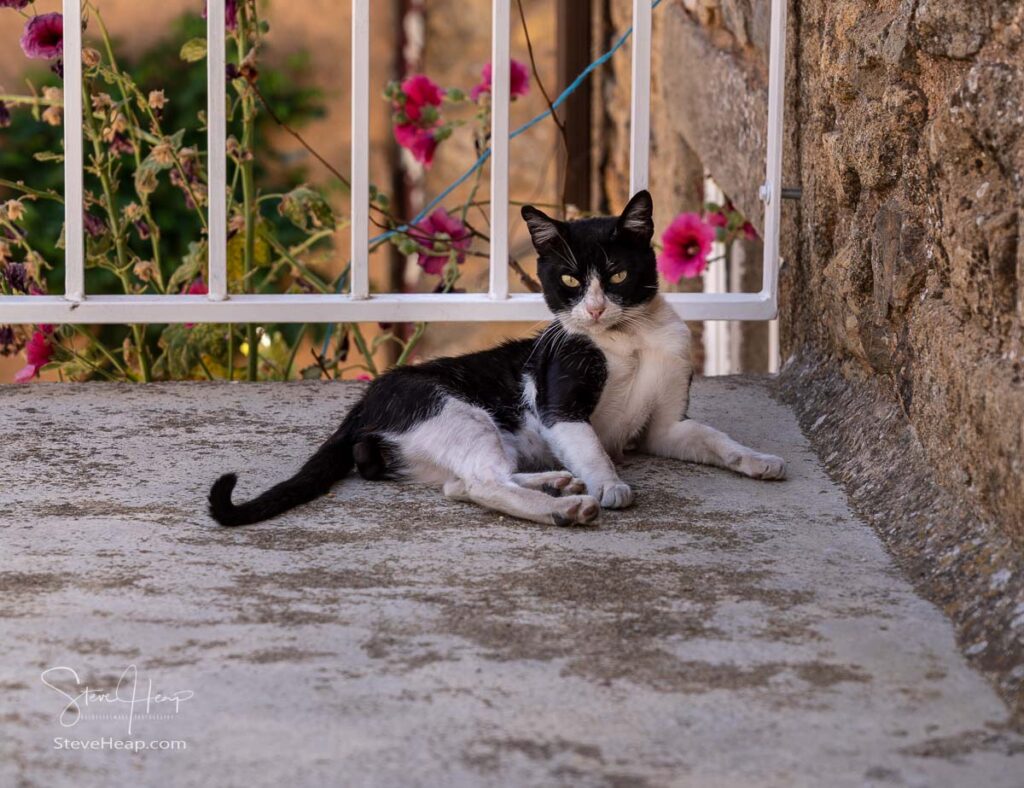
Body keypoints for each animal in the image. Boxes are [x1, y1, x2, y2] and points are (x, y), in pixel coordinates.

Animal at [205, 188, 782, 528]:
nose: (595, 308)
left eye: (617, 275)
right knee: (480, 483)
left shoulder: (664, 426)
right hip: (459, 414)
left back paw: (555, 483)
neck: (630, 339)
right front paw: (610, 484)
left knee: (461, 484)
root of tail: (364, 402)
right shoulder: (559, 404)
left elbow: (713, 438)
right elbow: (593, 448)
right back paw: (566, 507)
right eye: (569, 280)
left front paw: (758, 459)